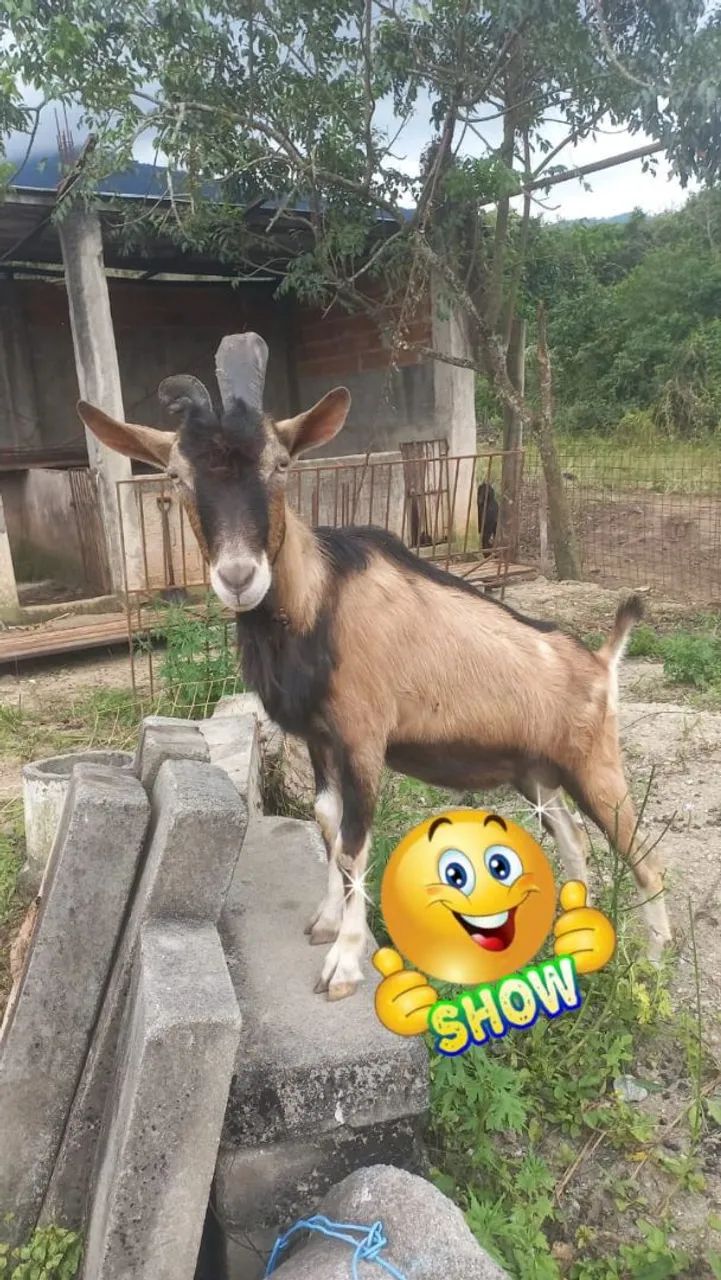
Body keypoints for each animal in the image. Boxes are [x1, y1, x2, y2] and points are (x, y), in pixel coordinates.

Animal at [77, 333, 671, 1001]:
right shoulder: (319, 740)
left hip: (595, 767)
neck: (319, 601)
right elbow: (326, 822)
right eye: (176, 474)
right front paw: (326, 921)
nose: (238, 577)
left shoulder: (363, 739)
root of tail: (599, 662)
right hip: (537, 775)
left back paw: (651, 971)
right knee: (575, 843)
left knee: (646, 860)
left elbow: (357, 841)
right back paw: (563, 947)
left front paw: (344, 962)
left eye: (281, 464)